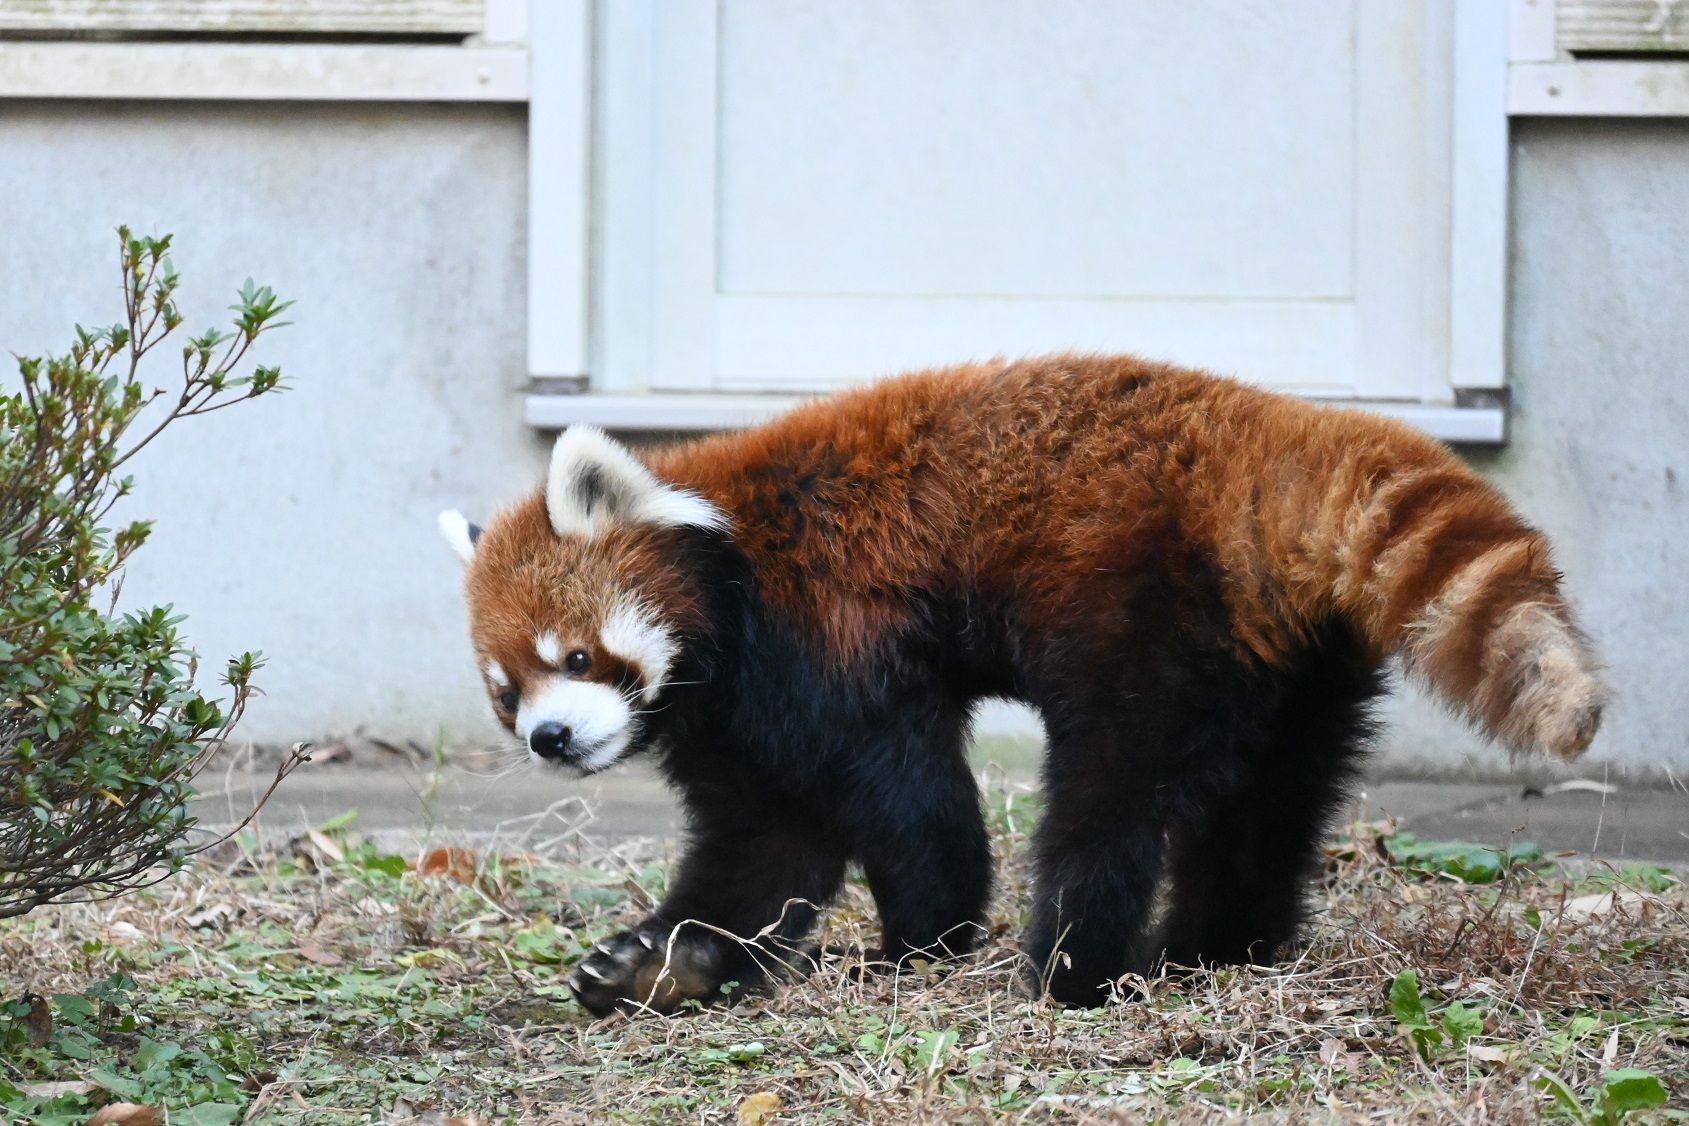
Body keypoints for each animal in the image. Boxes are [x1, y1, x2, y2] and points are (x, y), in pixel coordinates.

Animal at [442, 352, 1601, 1012]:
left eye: (576, 656)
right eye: (506, 693)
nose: (551, 739)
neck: (731, 578)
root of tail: (1279, 434)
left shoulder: (830, 642)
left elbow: (912, 810)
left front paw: (919, 949)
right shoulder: (737, 726)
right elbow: (763, 852)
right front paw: (657, 964)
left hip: (1149, 612)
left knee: (1111, 797)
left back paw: (1067, 970)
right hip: (1291, 659)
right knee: (1269, 803)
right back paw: (1217, 951)